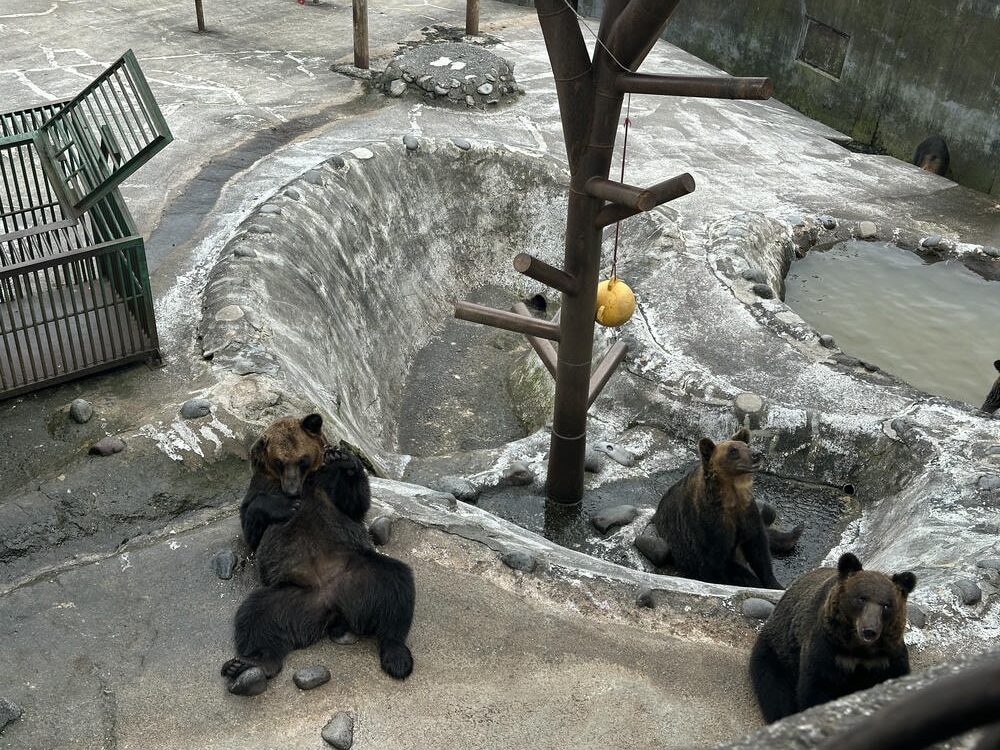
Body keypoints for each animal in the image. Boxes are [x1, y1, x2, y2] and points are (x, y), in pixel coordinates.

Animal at [221, 445, 415, 696]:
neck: (303, 483)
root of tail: (334, 606)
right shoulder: (261, 486)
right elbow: (252, 525)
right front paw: (280, 505)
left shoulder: (328, 487)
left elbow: (354, 505)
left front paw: (345, 459)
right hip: (292, 598)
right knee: (256, 615)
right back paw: (251, 663)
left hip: (359, 575)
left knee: (395, 584)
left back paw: (396, 653)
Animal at [240, 413, 327, 552]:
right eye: (278, 461)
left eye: (302, 460)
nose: (292, 491)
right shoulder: (262, 480)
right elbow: (250, 530)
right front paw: (290, 506)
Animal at [648, 427, 785, 589]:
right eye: (733, 450)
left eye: (747, 445)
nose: (756, 455)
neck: (730, 497)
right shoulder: (708, 525)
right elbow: (716, 564)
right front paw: (751, 581)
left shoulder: (748, 513)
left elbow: (759, 549)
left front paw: (775, 583)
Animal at [749, 552, 916, 722]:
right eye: (861, 598)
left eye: (886, 605)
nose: (869, 630)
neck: (859, 650)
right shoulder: (828, 650)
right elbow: (815, 689)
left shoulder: (886, 657)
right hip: (778, 652)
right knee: (775, 690)